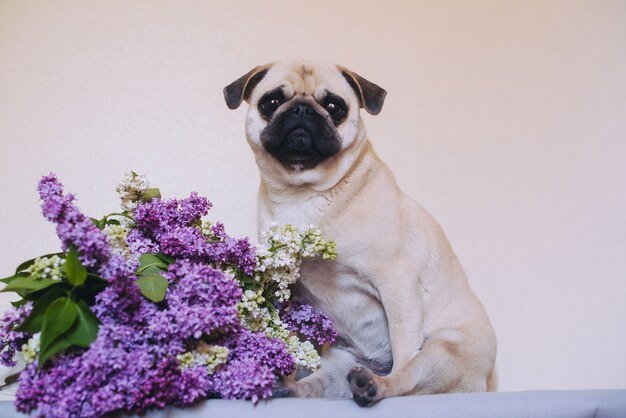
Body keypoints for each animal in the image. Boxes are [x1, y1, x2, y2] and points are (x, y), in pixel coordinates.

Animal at [222, 61, 494, 404]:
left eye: (334, 106)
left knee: (407, 378)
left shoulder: (397, 283)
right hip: (340, 364)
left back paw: (375, 386)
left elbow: (404, 345)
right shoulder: (289, 289)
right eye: (271, 102)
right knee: (321, 384)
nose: (301, 109)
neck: (304, 194)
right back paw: (290, 386)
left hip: (440, 353)